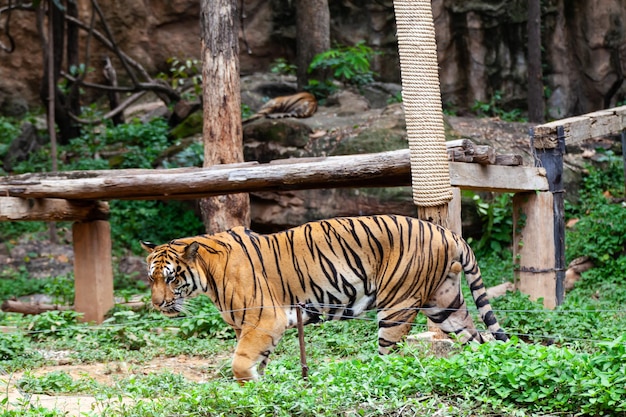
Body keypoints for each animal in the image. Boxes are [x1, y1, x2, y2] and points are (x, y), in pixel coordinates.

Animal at [141, 214, 508, 380]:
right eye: (151, 278)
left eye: (171, 278)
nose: (157, 304)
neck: (208, 274)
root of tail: (448, 232)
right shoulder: (255, 327)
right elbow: (258, 360)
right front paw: (263, 387)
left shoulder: (265, 319)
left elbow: (241, 362)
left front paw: (248, 386)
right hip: (444, 304)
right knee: (478, 339)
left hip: (397, 305)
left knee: (390, 356)